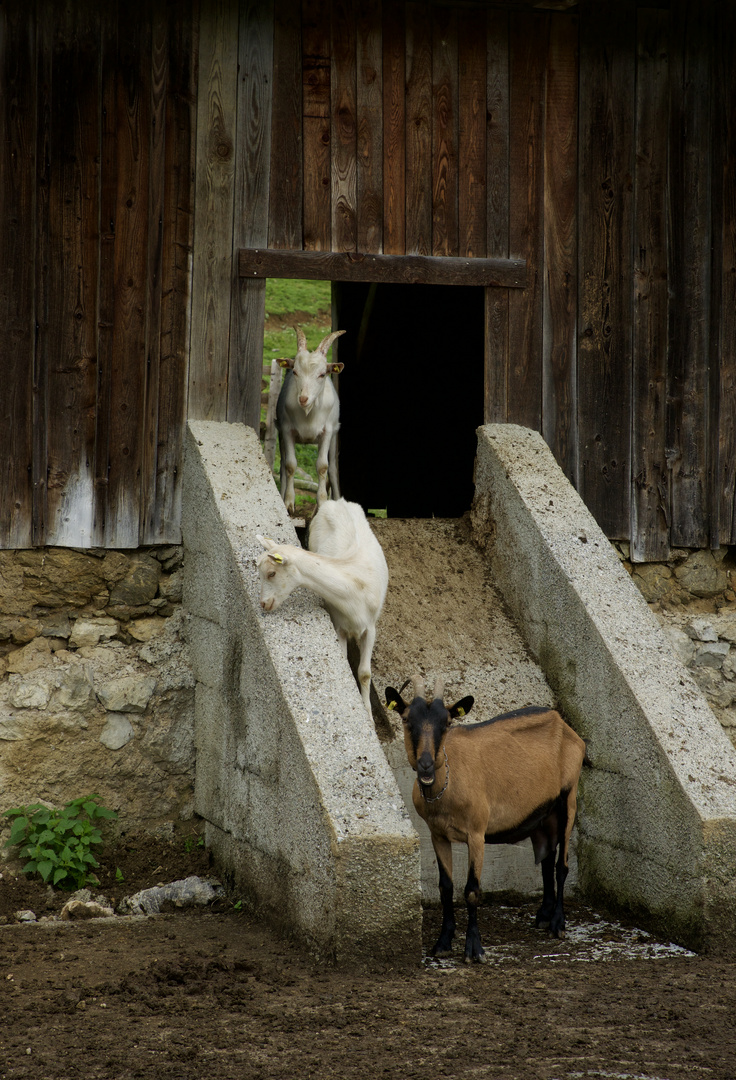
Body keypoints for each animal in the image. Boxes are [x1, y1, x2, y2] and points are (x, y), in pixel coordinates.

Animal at [255, 498, 386, 717]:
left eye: (271, 573)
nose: (263, 603)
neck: (353, 593)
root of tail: (336, 500)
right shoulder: (338, 624)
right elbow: (345, 664)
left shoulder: (371, 627)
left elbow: (365, 673)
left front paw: (368, 716)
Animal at [274, 324, 345, 514]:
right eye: (295, 372)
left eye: (322, 374)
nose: (303, 398)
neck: (308, 413)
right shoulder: (286, 430)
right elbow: (290, 465)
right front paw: (288, 503)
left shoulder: (327, 431)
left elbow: (323, 466)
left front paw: (322, 504)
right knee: (282, 464)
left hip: (333, 437)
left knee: (333, 468)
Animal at [384, 673, 583, 963]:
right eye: (407, 719)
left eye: (447, 722)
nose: (426, 764)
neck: (448, 785)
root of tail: (565, 726)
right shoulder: (437, 834)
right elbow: (445, 887)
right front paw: (442, 943)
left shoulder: (476, 834)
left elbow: (472, 891)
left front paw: (474, 950)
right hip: (542, 814)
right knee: (547, 858)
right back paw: (543, 916)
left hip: (569, 797)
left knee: (561, 865)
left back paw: (557, 923)